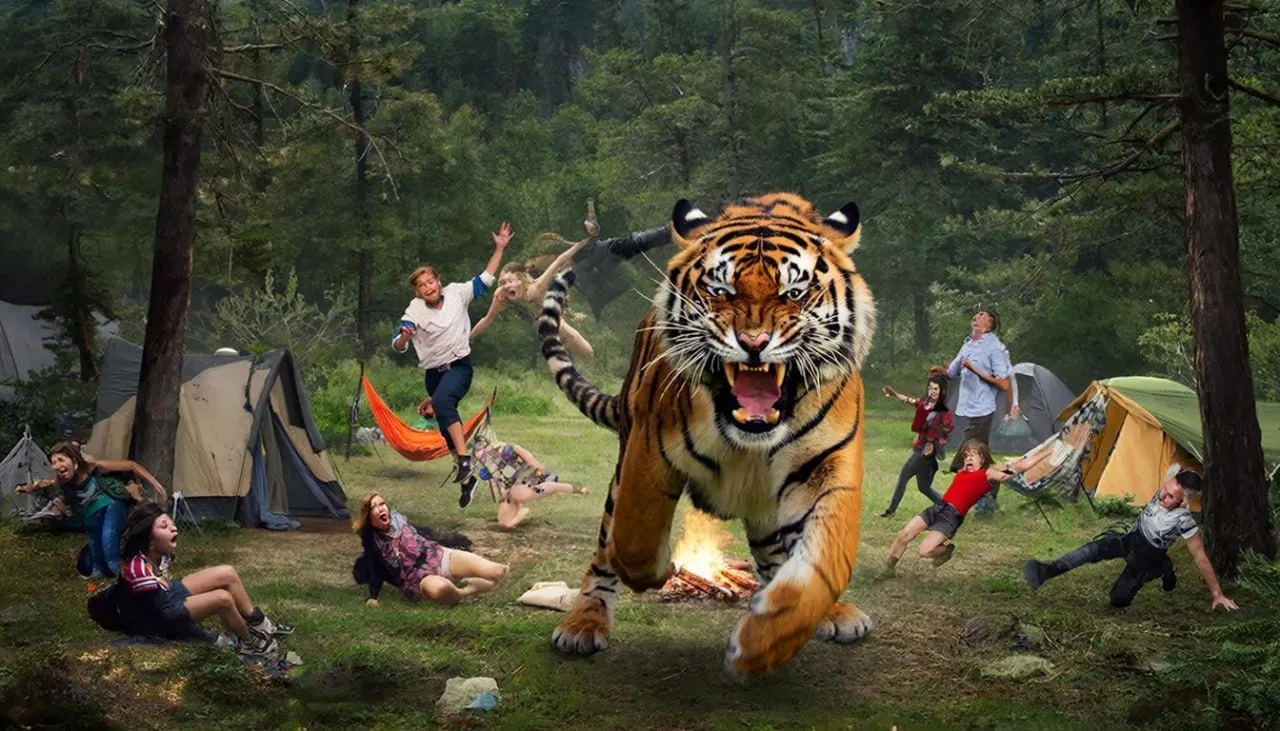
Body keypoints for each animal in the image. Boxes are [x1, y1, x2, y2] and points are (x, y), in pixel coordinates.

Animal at [537, 192, 876, 678]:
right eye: (721, 291)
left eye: (794, 293)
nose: (754, 342)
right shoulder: (648, 454)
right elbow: (633, 542)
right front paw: (663, 571)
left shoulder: (825, 469)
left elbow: (819, 564)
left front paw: (766, 638)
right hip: (623, 467)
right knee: (605, 550)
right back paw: (583, 623)